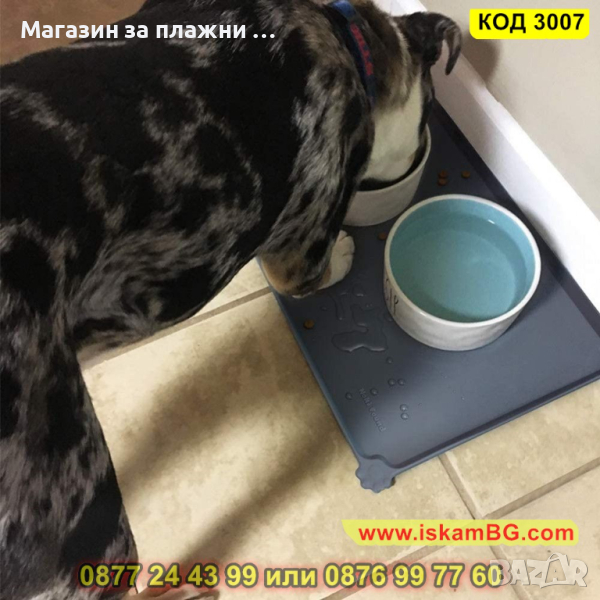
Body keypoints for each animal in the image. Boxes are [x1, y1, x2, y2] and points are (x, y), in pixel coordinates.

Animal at [0, 0, 460, 597]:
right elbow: (315, 268)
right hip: (78, 514)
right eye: (428, 118)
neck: (347, 39)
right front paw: (344, 251)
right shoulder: (299, 251)